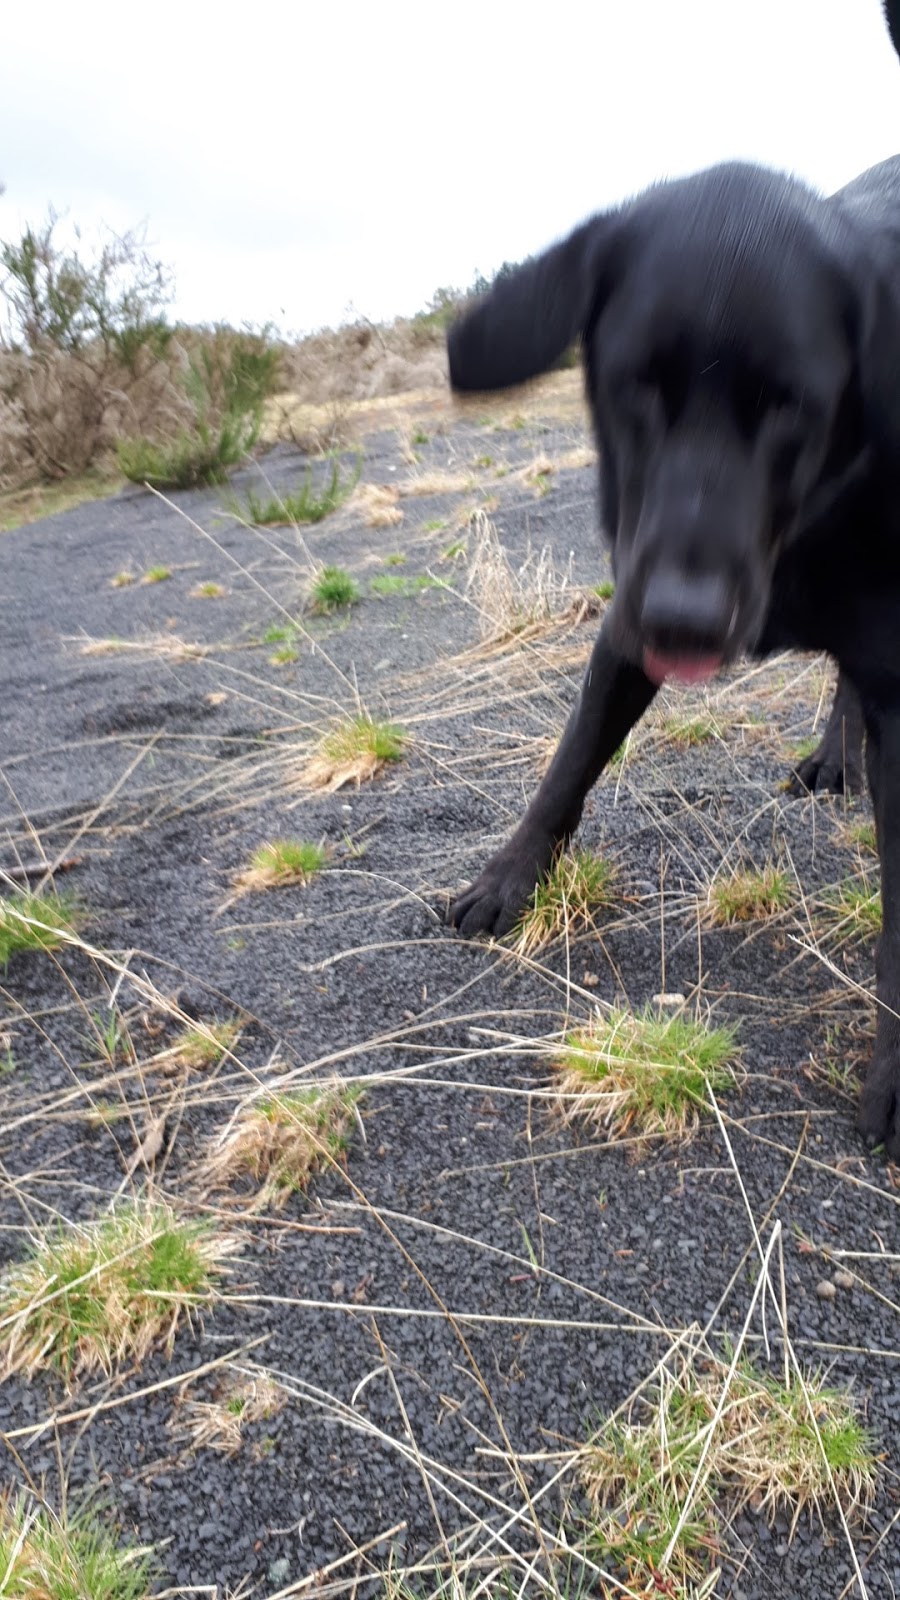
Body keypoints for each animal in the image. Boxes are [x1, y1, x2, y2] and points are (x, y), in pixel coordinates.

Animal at [445, 118, 896, 1158]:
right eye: (633, 386)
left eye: (793, 404)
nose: (684, 620)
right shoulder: (625, 619)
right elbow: (567, 766)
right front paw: (508, 877)